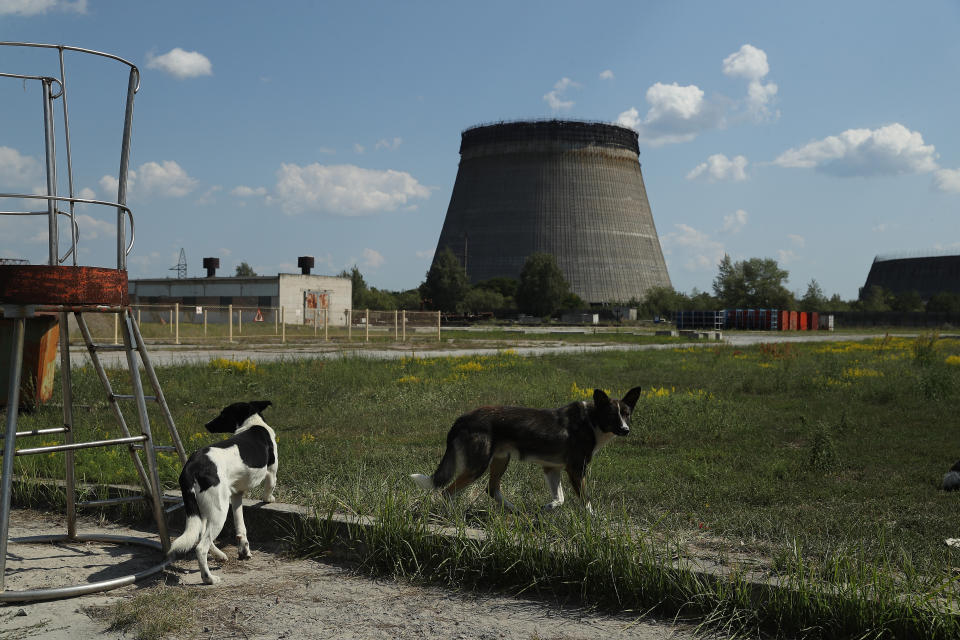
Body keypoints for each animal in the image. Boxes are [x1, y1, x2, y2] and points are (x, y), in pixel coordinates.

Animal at [169, 400, 278, 584]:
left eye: (223, 414)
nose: (207, 425)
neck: (252, 423)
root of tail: (192, 465)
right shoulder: (271, 470)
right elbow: (270, 486)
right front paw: (268, 499)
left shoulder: (236, 495)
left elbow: (241, 527)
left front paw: (244, 550)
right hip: (219, 510)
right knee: (201, 547)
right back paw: (209, 578)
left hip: (205, 509)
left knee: (202, 534)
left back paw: (220, 555)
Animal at [408, 384, 640, 516]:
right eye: (611, 415)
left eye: (626, 414)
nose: (625, 430)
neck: (592, 421)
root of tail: (462, 419)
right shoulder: (576, 469)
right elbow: (585, 499)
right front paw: (594, 519)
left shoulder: (552, 468)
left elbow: (560, 497)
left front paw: (549, 508)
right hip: (478, 465)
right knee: (447, 492)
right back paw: (452, 515)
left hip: (501, 459)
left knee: (491, 489)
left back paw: (513, 510)